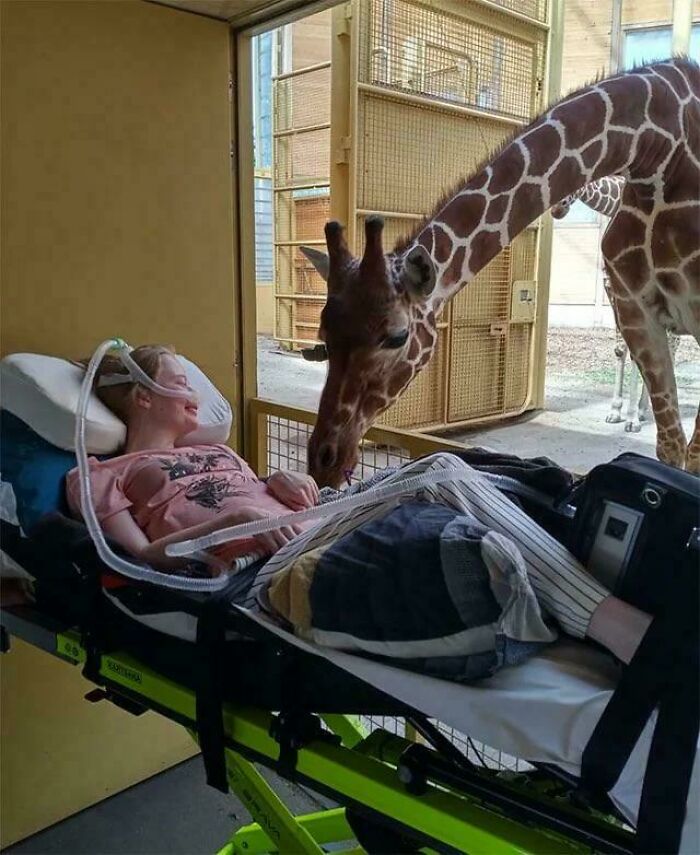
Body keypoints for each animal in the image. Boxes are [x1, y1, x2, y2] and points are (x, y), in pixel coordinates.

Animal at [551, 175, 683, 432]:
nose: (557, 209)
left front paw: (631, 418)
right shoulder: (611, 289)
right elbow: (621, 349)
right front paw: (616, 411)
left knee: (672, 346)